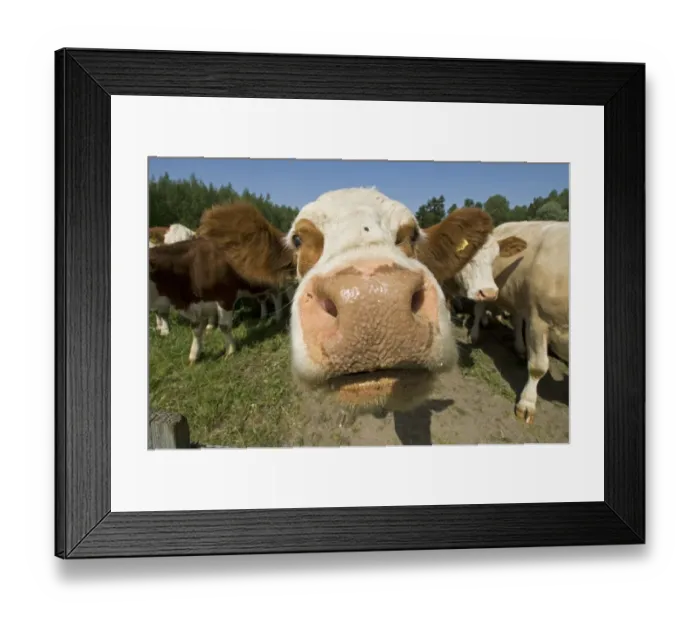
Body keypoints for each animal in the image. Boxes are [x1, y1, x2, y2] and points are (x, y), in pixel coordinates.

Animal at [469, 220, 570, 424]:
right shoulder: (539, 320)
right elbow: (538, 366)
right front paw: (527, 403)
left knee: (516, 319)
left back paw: (520, 347)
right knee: (480, 308)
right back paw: (475, 334)